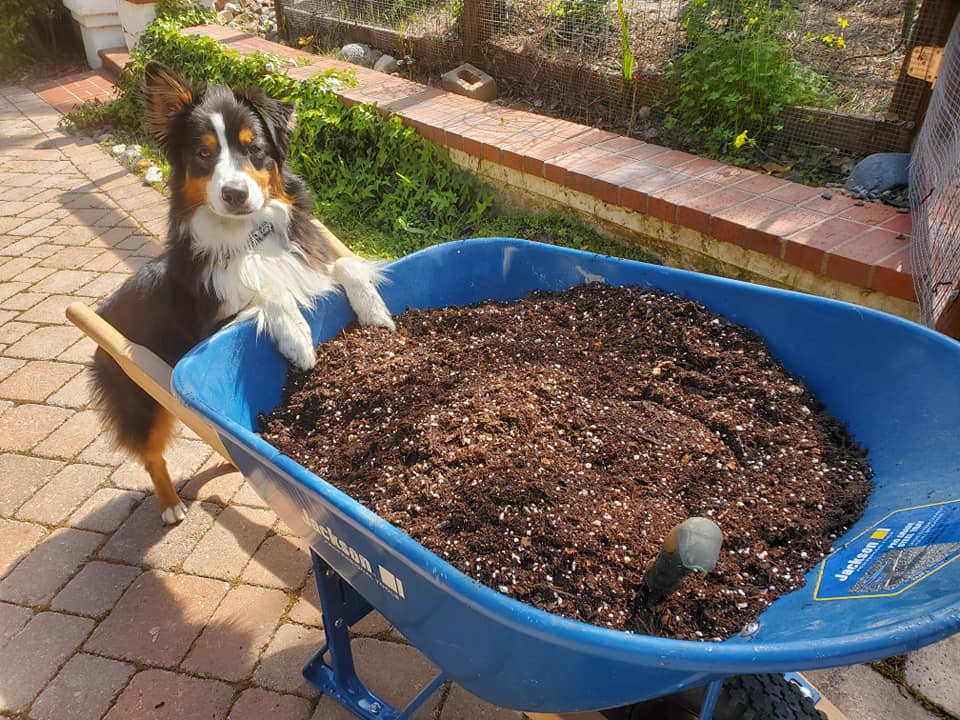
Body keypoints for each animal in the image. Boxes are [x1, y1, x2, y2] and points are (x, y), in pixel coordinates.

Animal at [87, 60, 394, 524]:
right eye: (203, 153)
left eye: (255, 149)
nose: (235, 193)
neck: (250, 237)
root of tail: (104, 308)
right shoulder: (208, 327)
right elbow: (270, 293)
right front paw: (299, 342)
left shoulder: (311, 265)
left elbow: (345, 264)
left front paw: (375, 312)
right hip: (142, 401)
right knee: (151, 456)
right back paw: (170, 504)